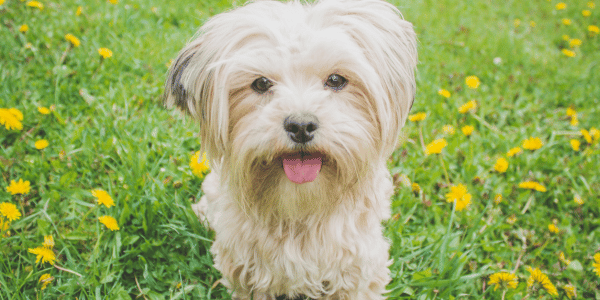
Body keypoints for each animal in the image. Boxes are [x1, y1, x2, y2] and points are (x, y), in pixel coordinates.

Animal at [163, 0, 418, 298]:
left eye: (335, 80)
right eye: (261, 83)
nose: (301, 125)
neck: (300, 213)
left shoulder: (359, 271)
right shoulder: (247, 275)